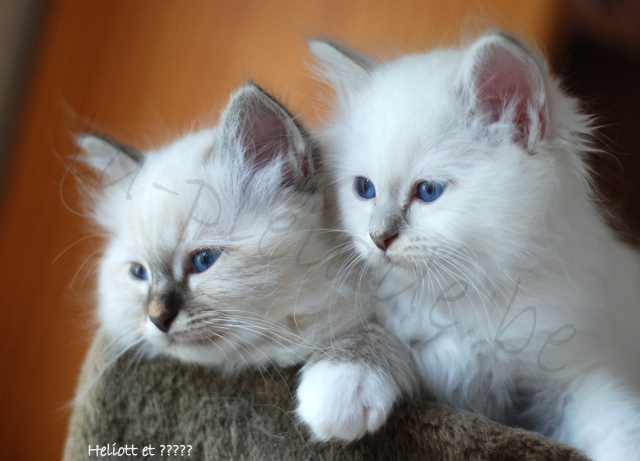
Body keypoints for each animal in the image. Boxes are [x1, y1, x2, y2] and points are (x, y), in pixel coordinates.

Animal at [312, 30, 640, 458]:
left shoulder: (578, 366)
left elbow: (616, 424)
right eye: (364, 189)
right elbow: (375, 333)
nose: (378, 237)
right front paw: (339, 387)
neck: (463, 300)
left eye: (428, 191)